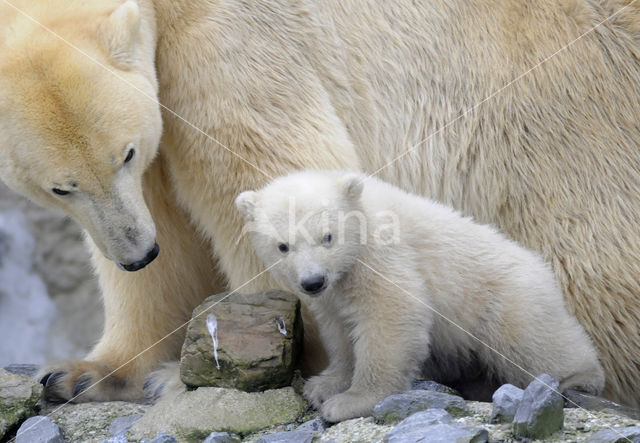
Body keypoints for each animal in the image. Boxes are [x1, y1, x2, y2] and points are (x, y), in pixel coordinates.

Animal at [234, 171, 604, 424]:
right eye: (283, 246)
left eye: (327, 236)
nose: (312, 281)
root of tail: (542, 269)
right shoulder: (334, 292)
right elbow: (340, 330)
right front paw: (324, 385)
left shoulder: (383, 255)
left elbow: (391, 315)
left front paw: (351, 401)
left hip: (505, 298)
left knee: (530, 341)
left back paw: (579, 380)